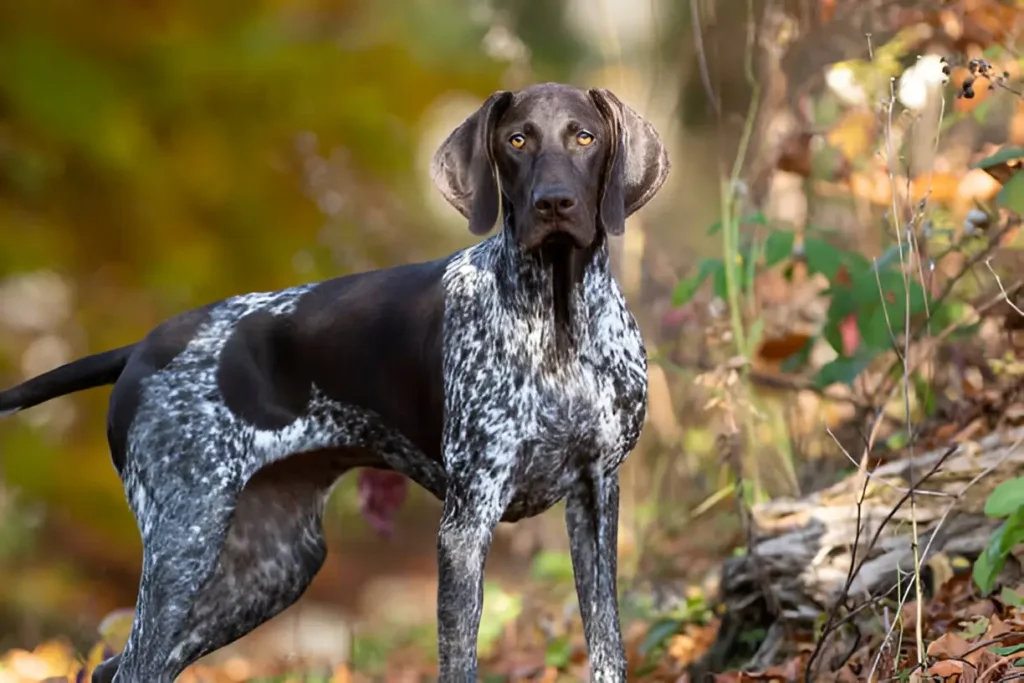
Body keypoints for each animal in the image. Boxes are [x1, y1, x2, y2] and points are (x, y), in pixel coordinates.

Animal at [0, 82, 671, 679]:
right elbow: (459, 662)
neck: (558, 320)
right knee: (133, 664)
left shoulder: (595, 496)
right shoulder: (466, 523)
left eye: (584, 137)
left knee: (120, 667)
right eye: (517, 139)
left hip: (270, 564)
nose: (554, 203)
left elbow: (608, 648)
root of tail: (141, 347)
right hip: (184, 544)